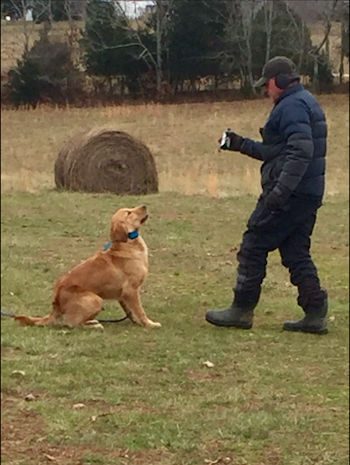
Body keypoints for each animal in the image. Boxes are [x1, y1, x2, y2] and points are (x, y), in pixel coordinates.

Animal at [14, 205, 161, 328]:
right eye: (129, 212)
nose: (144, 205)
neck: (127, 244)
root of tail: (55, 305)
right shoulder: (131, 290)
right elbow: (140, 311)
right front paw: (150, 324)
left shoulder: (123, 295)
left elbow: (130, 311)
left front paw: (136, 322)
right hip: (95, 299)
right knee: (73, 324)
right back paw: (94, 325)